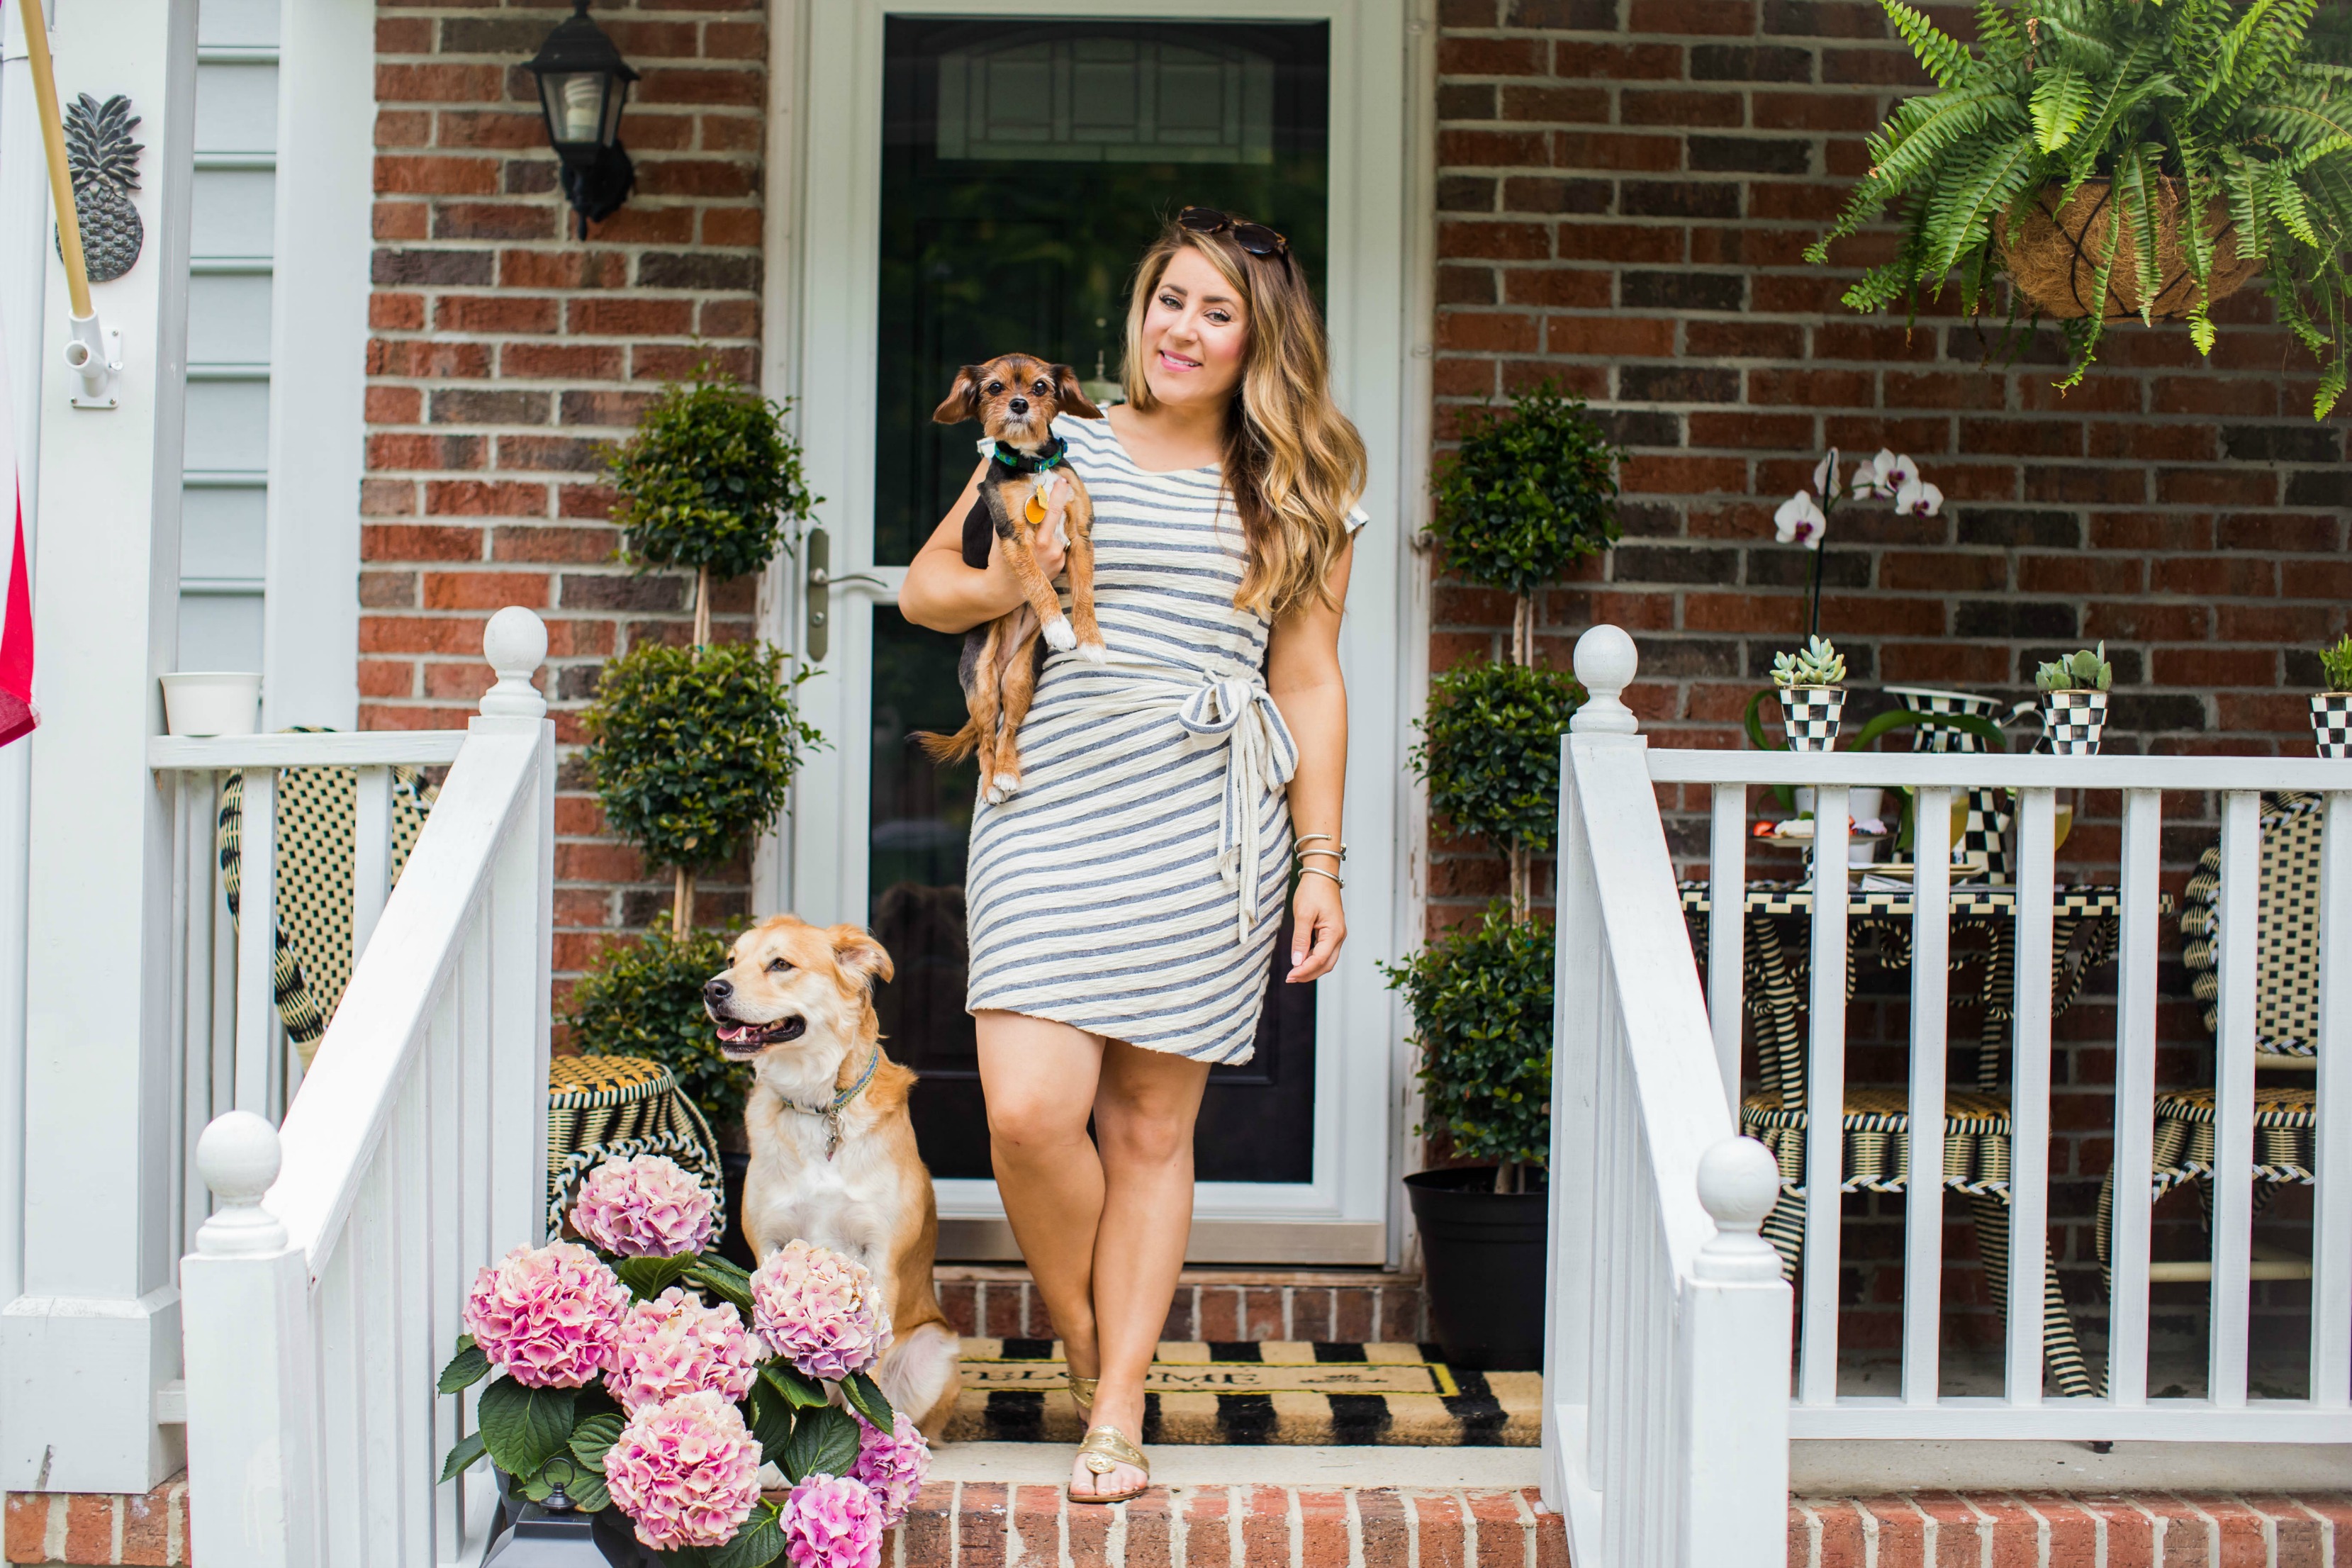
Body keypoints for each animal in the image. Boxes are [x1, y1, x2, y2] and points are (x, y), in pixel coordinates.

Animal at [912, 350, 1105, 804]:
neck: (1033, 467)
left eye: (1040, 387)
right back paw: (991, 785)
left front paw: (1089, 639)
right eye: (995, 388)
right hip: (981, 682)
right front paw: (1059, 627)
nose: (1019, 405)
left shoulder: (1080, 535)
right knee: (985, 738)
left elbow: (1084, 593)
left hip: (1019, 677)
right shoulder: (1015, 537)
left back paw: (1007, 774)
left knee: (1008, 731)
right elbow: (1038, 581)